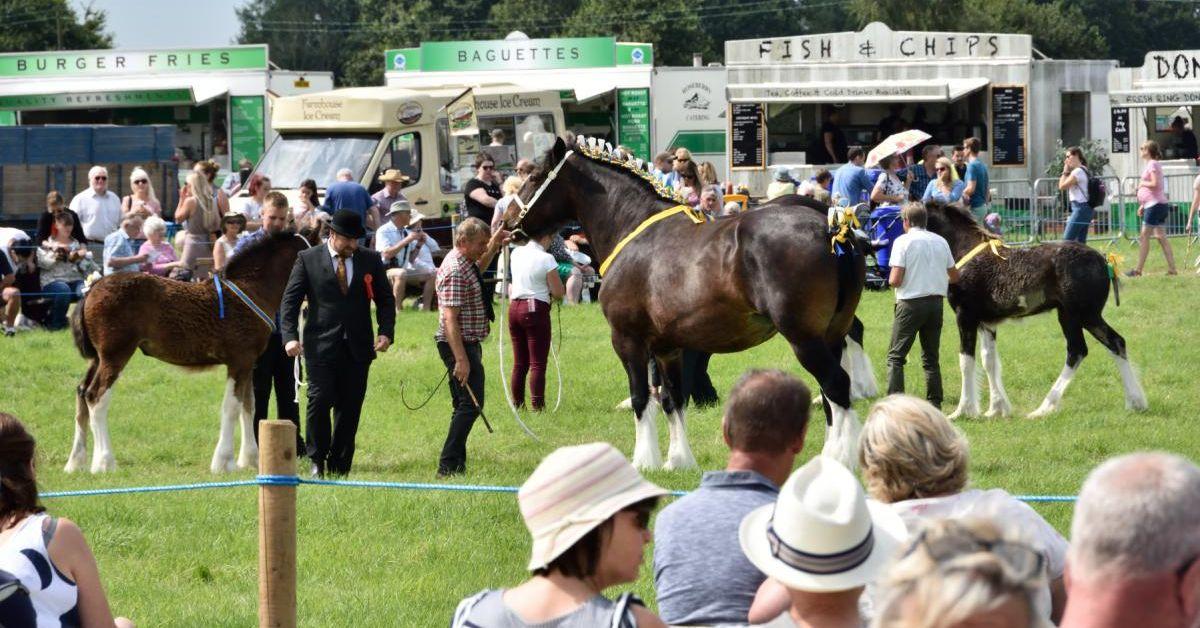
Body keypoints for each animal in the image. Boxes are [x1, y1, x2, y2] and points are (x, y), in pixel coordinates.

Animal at [67, 232, 314, 475]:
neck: (250, 289)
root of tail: (92, 289)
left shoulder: (248, 363)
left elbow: (248, 405)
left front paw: (250, 460)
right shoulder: (239, 361)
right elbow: (232, 407)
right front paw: (223, 462)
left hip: (97, 359)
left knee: (81, 392)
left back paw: (76, 462)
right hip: (115, 355)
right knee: (96, 396)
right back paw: (104, 463)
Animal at [501, 137, 868, 470]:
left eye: (535, 177)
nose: (506, 224)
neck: (633, 228)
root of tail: (831, 227)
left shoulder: (628, 339)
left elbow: (641, 397)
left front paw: (644, 462)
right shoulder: (668, 347)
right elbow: (671, 399)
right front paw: (678, 461)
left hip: (804, 339)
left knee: (836, 386)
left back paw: (841, 461)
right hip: (831, 335)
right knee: (832, 395)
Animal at [921, 201, 1147, 417]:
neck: (966, 251)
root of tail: (1104, 260)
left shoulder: (965, 316)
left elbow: (966, 361)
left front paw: (963, 410)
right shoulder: (987, 322)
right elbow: (989, 361)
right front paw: (996, 409)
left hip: (1082, 315)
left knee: (1088, 348)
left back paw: (1044, 408)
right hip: (1073, 315)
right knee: (1107, 345)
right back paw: (1135, 402)